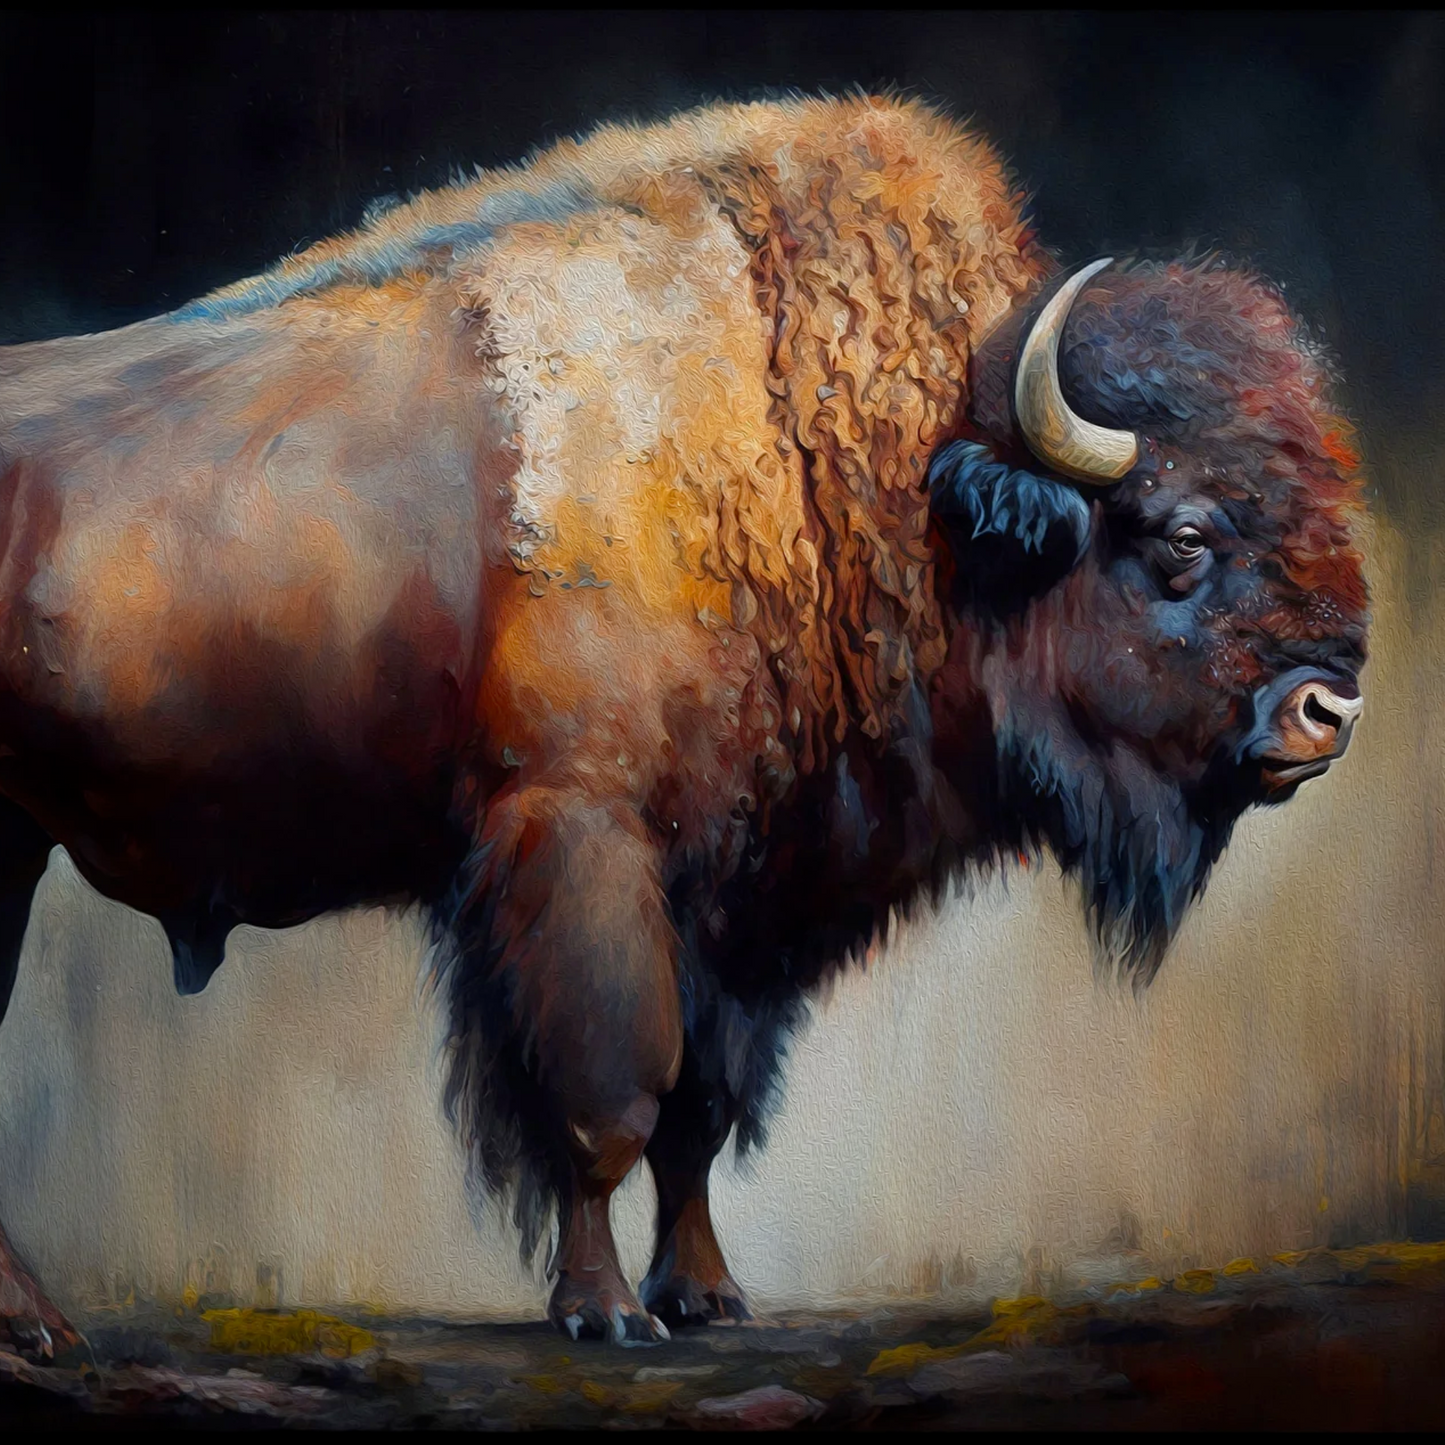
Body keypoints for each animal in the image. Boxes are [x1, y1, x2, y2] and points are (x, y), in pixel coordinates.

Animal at [0, 95, 1367, 1350]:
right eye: (1181, 533)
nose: (1328, 709)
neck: (852, 463)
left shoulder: (740, 898)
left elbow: (697, 1116)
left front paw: (704, 1295)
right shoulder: (582, 842)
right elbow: (606, 1101)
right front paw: (604, 1311)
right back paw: (40, 1325)